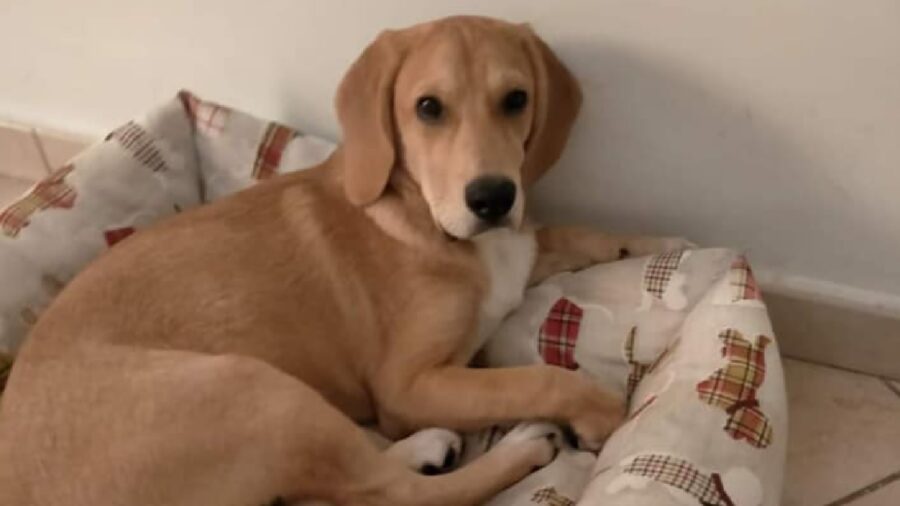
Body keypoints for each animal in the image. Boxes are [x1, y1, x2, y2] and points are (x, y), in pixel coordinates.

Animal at [0, 13, 688, 504]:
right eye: (428, 108)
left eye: (516, 99)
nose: (493, 196)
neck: (425, 217)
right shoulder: (409, 385)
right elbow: (537, 376)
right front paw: (599, 412)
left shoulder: (519, 250)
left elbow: (571, 234)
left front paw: (660, 249)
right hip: (253, 389)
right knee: (390, 495)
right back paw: (516, 448)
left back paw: (427, 447)